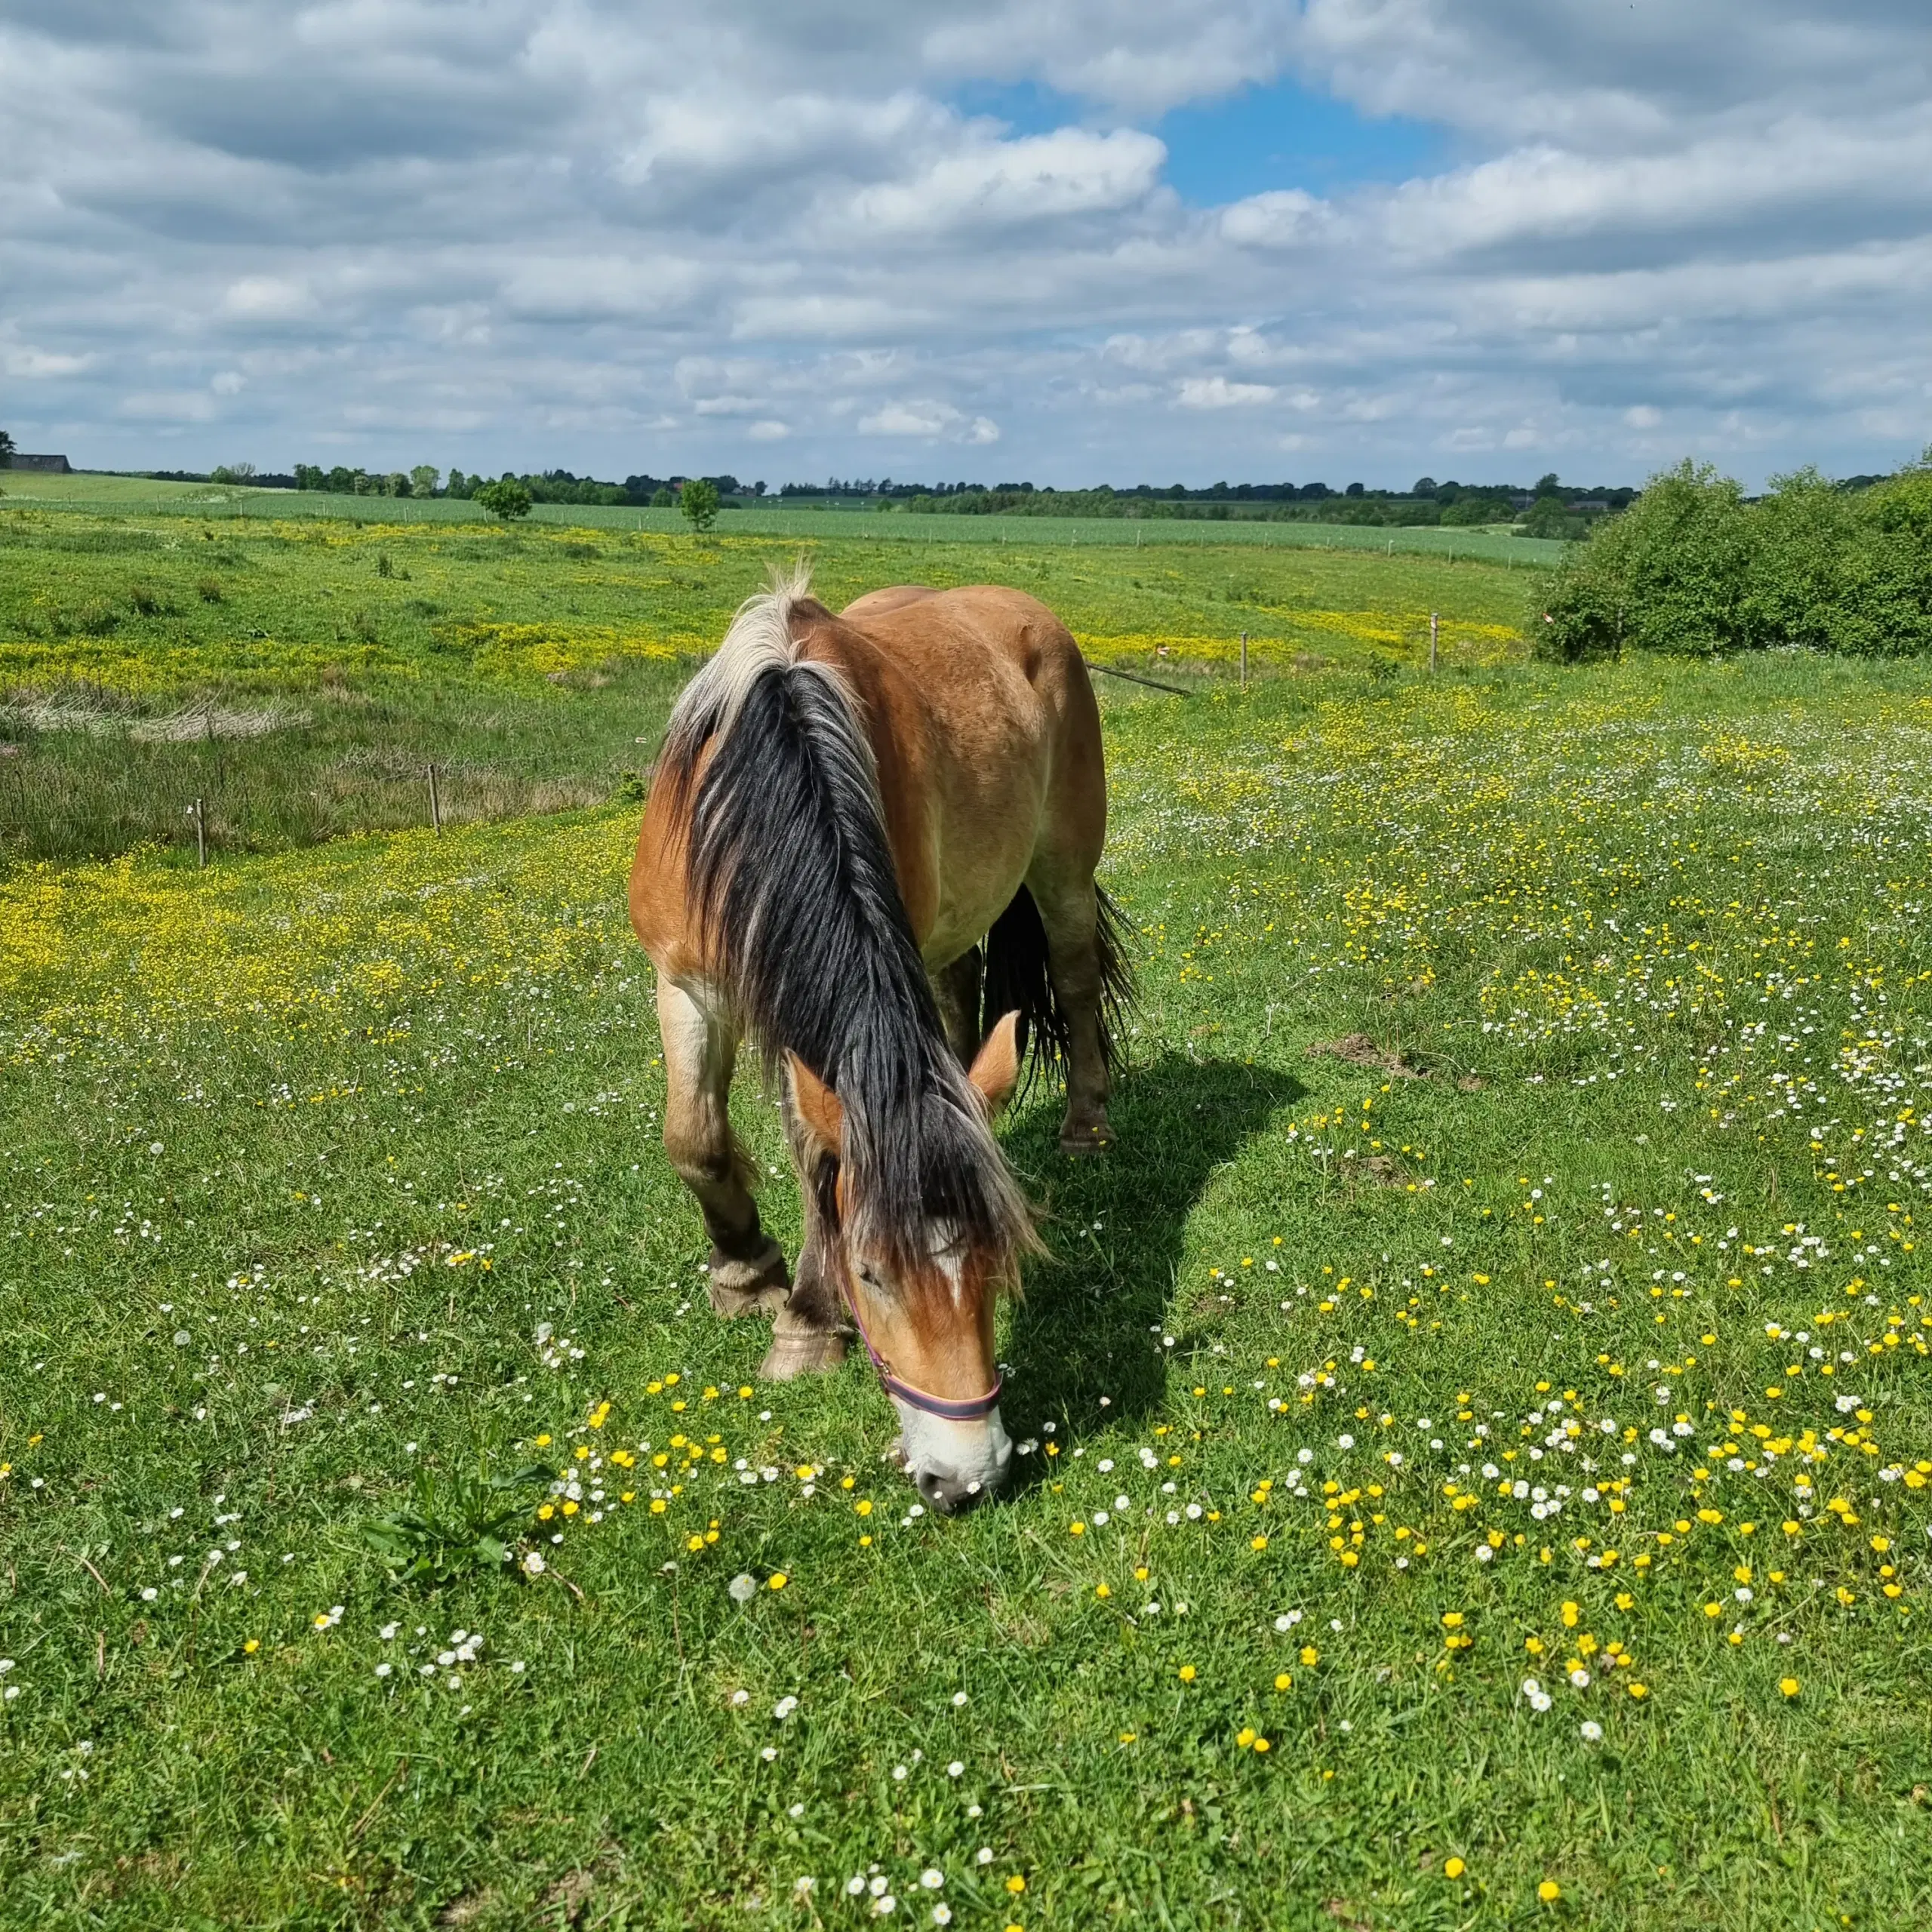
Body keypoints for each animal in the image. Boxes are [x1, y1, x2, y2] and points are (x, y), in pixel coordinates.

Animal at [626, 564, 1128, 1515]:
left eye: (995, 1264)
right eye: (872, 1274)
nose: (966, 1476)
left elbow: (810, 1159)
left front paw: (804, 1320)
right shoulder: (685, 983)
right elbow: (695, 1141)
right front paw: (746, 1273)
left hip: (1061, 868)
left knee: (1076, 980)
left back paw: (1086, 1124)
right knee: (961, 1003)